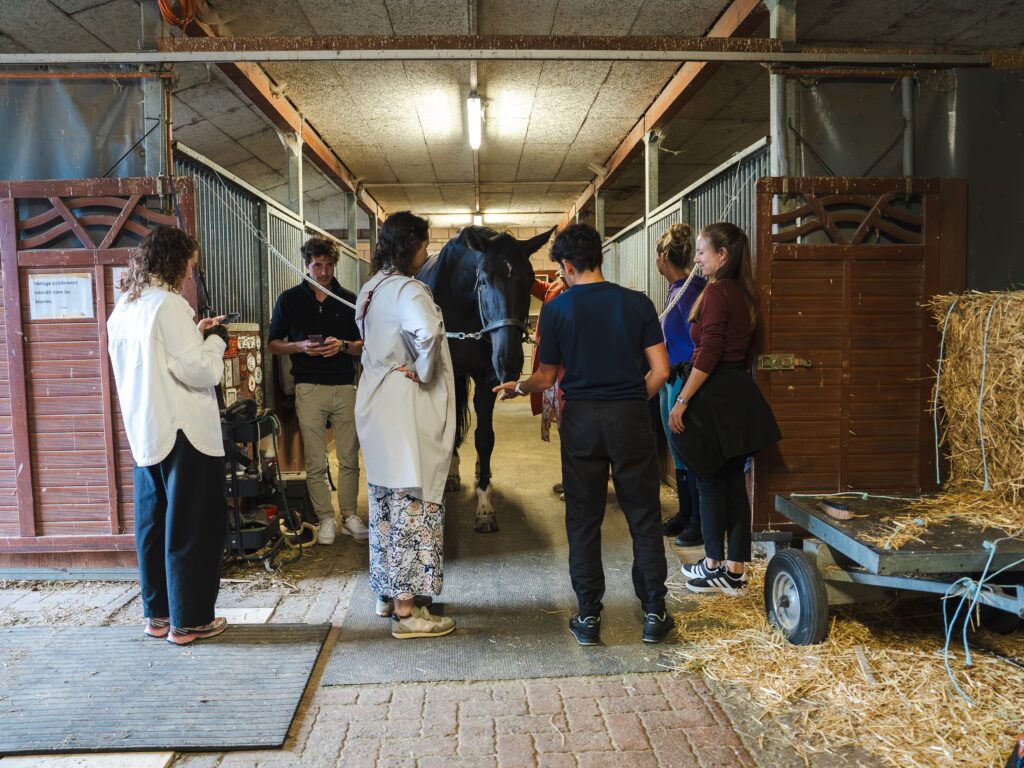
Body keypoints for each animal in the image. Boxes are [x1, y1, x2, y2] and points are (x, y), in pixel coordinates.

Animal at [418, 225, 554, 532]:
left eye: (530, 280)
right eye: (483, 281)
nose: (510, 361)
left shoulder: (486, 379)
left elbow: (485, 437)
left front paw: (484, 507)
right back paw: (452, 473)